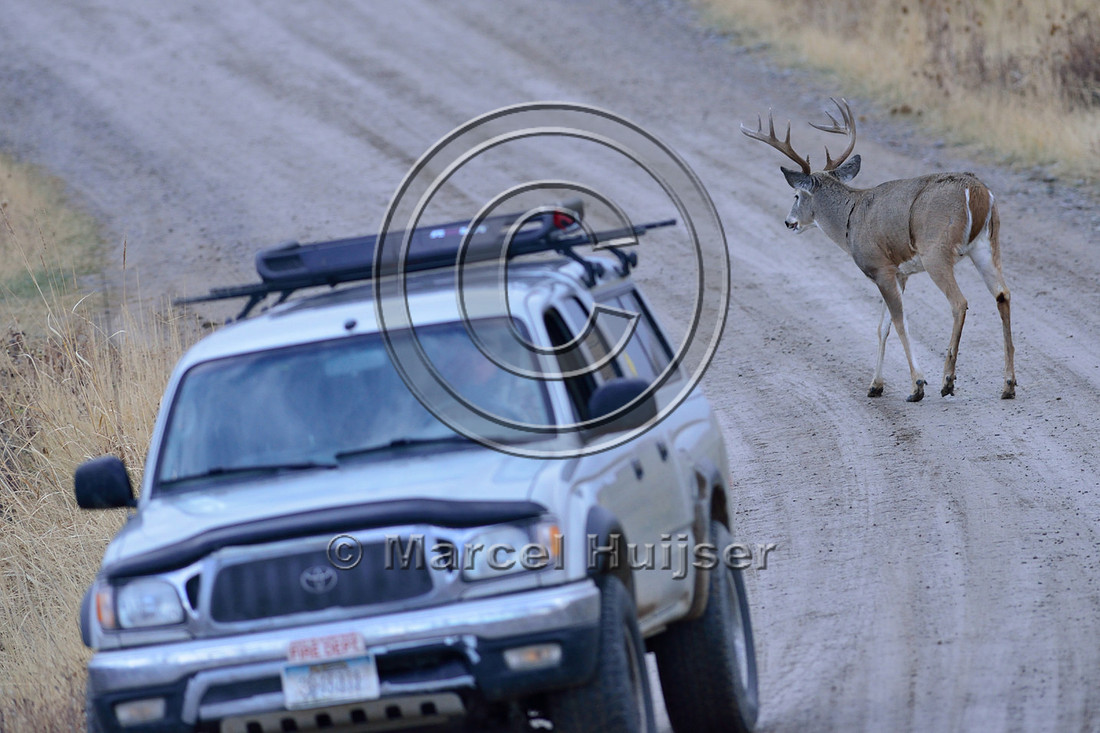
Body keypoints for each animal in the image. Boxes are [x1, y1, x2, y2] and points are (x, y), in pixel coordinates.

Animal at [741, 98, 1016, 402]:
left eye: (797, 195)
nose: (789, 222)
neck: (850, 218)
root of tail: (977, 191)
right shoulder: (899, 272)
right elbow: (882, 327)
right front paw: (875, 385)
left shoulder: (880, 267)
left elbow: (899, 321)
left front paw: (917, 385)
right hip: (987, 244)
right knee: (1003, 295)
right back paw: (1008, 384)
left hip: (936, 250)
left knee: (959, 302)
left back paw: (947, 380)